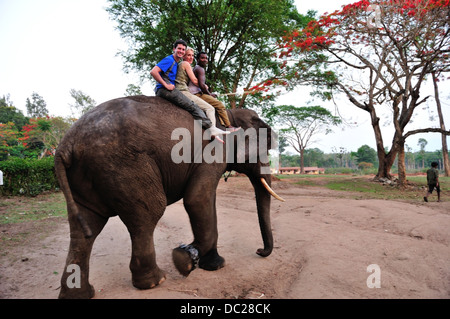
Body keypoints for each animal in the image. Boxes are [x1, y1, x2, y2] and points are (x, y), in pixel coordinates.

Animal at [54, 95, 284, 300]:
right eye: (264, 149)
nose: (259, 251)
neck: (230, 114)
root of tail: (65, 146)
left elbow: (207, 201)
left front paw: (213, 265)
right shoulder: (213, 151)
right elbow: (197, 198)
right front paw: (185, 259)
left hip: (86, 176)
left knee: (86, 227)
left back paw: (80, 294)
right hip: (124, 165)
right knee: (148, 215)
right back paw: (154, 281)